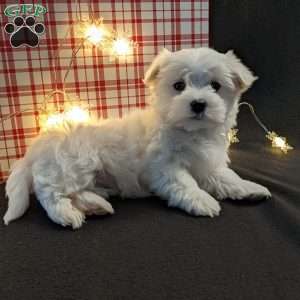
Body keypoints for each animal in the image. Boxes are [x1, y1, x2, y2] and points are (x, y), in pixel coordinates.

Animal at [3, 48, 270, 229]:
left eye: (215, 86)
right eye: (179, 86)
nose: (198, 104)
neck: (190, 132)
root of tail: (38, 145)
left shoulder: (208, 163)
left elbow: (227, 177)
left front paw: (250, 188)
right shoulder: (164, 166)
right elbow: (185, 183)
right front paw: (202, 200)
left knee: (74, 191)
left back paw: (96, 205)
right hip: (72, 164)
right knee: (49, 192)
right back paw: (66, 214)